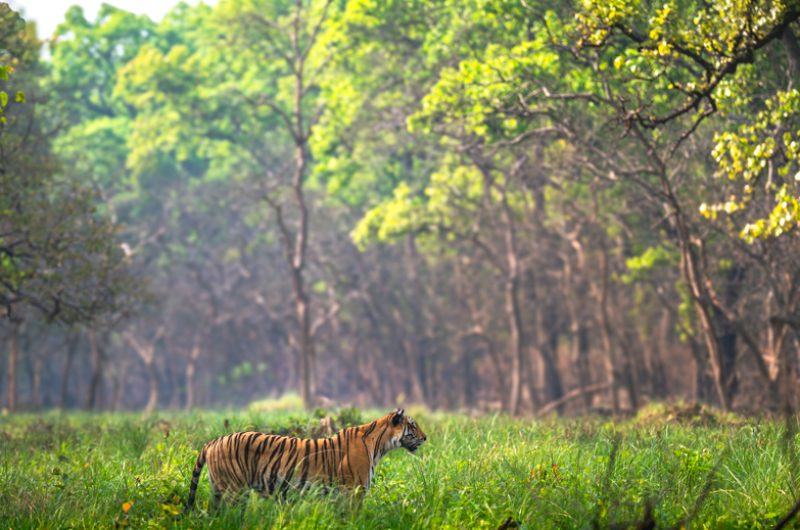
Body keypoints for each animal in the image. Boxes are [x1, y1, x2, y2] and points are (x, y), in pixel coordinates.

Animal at [184, 408, 426, 511]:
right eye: (413, 425)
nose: (425, 437)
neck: (380, 446)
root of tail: (213, 441)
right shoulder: (355, 492)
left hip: (218, 489)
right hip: (235, 491)